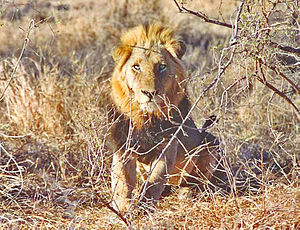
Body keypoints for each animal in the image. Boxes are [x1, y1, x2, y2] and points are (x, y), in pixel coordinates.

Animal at [109, 22, 220, 212]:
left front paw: (144, 207)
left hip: (211, 142)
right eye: (136, 67)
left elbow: (154, 181)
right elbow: (122, 180)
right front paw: (122, 207)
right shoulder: (123, 145)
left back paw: (187, 192)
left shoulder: (168, 147)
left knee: (197, 182)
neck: (146, 117)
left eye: (161, 67)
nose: (149, 93)